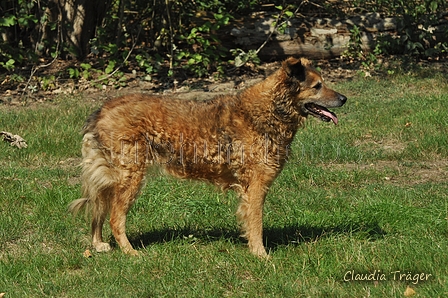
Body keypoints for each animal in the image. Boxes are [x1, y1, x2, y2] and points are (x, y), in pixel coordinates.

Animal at [69, 57, 346, 258]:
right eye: (317, 86)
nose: (344, 98)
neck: (269, 111)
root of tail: (102, 109)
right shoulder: (256, 186)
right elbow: (256, 224)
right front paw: (262, 256)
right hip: (130, 177)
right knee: (115, 218)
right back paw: (131, 253)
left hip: (111, 176)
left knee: (99, 209)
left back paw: (98, 244)